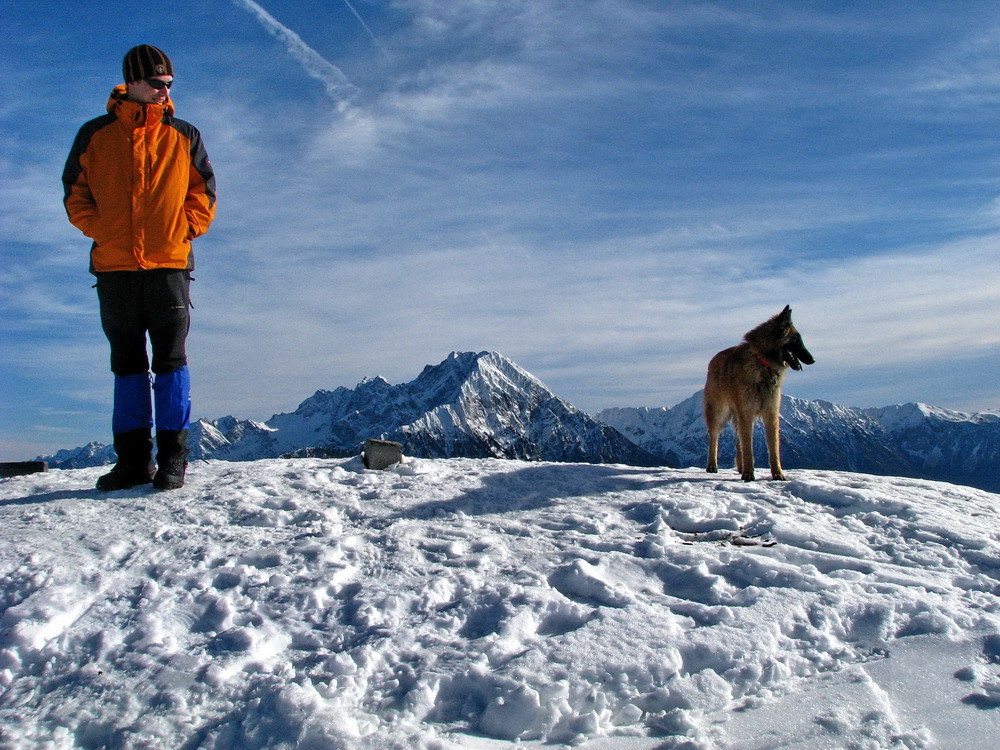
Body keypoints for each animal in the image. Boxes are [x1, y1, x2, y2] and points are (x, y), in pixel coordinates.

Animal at [704, 306, 812, 482]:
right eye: (797, 340)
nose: (813, 359)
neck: (762, 362)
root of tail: (713, 360)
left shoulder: (771, 414)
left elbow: (773, 449)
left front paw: (778, 474)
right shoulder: (747, 413)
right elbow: (748, 448)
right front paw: (749, 474)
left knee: (738, 441)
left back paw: (740, 468)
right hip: (719, 413)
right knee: (714, 438)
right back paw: (713, 466)